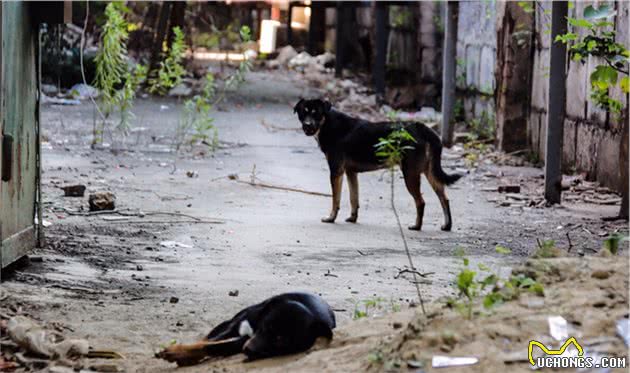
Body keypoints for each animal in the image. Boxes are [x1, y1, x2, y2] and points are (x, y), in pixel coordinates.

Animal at [157, 292, 336, 364]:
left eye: (281, 340)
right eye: (265, 326)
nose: (249, 350)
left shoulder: (241, 341)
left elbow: (214, 347)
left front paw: (178, 353)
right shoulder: (236, 327)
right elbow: (208, 343)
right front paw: (177, 351)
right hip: (233, 320)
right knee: (208, 336)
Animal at [294, 96, 462, 230]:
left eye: (316, 113)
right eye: (303, 112)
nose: (307, 125)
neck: (327, 123)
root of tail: (422, 127)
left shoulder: (336, 171)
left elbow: (336, 199)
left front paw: (331, 218)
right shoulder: (350, 172)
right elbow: (354, 198)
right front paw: (353, 218)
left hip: (410, 174)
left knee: (421, 202)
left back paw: (417, 226)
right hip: (429, 171)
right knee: (444, 198)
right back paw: (447, 225)